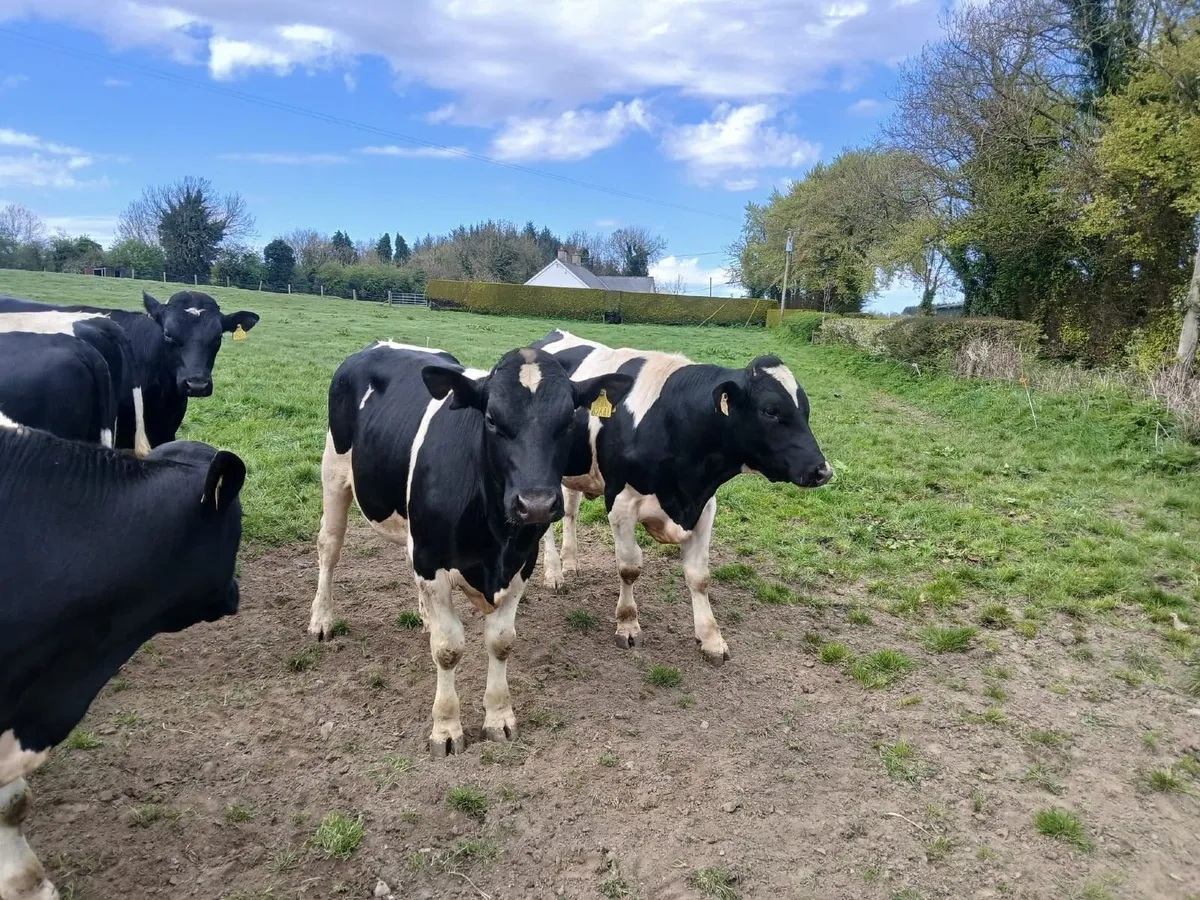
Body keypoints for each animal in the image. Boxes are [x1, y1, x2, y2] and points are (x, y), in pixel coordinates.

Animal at [307, 341, 631, 757]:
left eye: (568, 421)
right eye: (491, 419)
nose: (536, 504)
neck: (493, 536)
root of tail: (380, 344)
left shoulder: (521, 563)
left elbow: (501, 642)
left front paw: (499, 717)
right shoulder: (431, 558)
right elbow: (448, 649)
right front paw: (446, 728)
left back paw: (423, 616)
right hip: (334, 472)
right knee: (329, 547)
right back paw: (322, 619)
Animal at [531, 329, 833, 665]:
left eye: (805, 409)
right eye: (770, 410)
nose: (822, 470)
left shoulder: (704, 505)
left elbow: (699, 576)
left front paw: (711, 638)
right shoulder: (621, 502)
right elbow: (629, 567)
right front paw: (628, 624)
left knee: (570, 511)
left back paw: (570, 564)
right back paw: (554, 573)